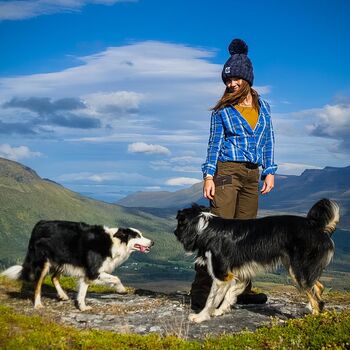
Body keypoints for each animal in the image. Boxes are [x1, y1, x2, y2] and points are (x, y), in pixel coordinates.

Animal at [1, 220, 154, 310]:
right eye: (137, 236)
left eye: (141, 234)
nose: (153, 242)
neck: (115, 242)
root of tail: (38, 224)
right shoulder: (93, 271)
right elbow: (116, 278)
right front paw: (121, 289)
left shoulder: (87, 273)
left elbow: (82, 291)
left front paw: (82, 306)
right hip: (44, 262)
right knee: (38, 284)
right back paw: (38, 304)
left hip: (63, 259)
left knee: (54, 277)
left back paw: (63, 295)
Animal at [175, 198, 340, 324]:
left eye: (178, 224)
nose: (175, 232)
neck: (205, 228)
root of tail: (317, 226)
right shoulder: (238, 274)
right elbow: (229, 295)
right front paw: (220, 311)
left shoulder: (222, 275)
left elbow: (212, 299)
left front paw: (201, 316)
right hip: (297, 266)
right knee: (318, 287)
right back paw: (309, 308)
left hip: (299, 269)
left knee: (318, 299)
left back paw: (310, 321)